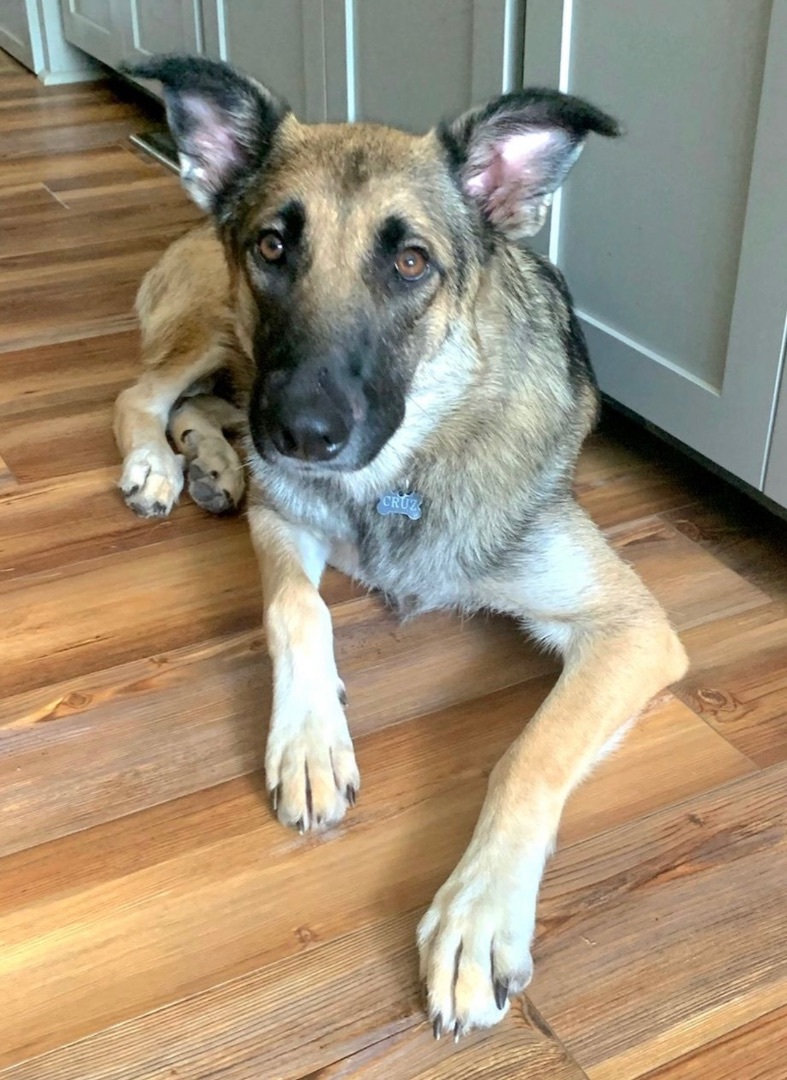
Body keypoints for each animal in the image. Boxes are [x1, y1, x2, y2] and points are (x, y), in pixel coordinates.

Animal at [113, 56, 686, 1036]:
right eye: (273, 247)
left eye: (410, 262)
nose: (300, 436)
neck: (407, 462)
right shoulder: (286, 517)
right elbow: (294, 606)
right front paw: (311, 740)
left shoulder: (634, 630)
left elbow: (528, 755)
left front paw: (477, 917)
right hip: (219, 327)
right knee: (143, 394)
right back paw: (161, 462)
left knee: (204, 406)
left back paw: (212, 463)